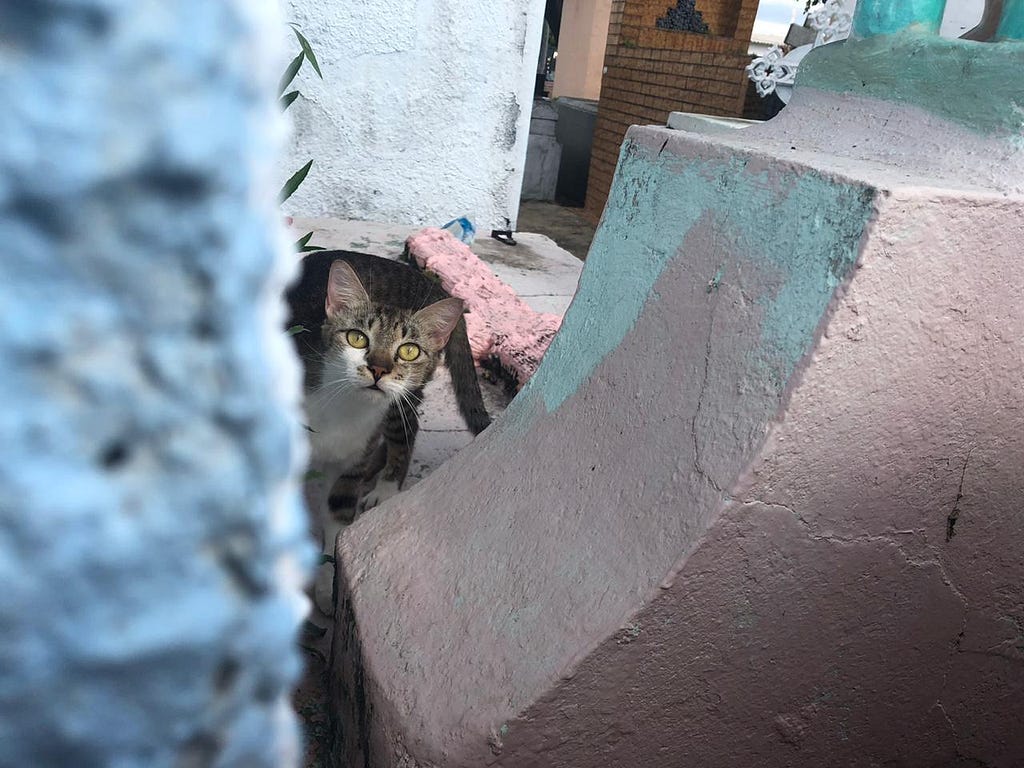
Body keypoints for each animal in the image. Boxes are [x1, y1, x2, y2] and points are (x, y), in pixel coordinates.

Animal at [286, 252, 489, 524]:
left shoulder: (350, 467)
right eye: (357, 338)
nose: (378, 369)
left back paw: (385, 488)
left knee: (407, 430)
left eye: (409, 351)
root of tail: (432, 283)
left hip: (404, 398)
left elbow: (340, 511)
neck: (346, 407)